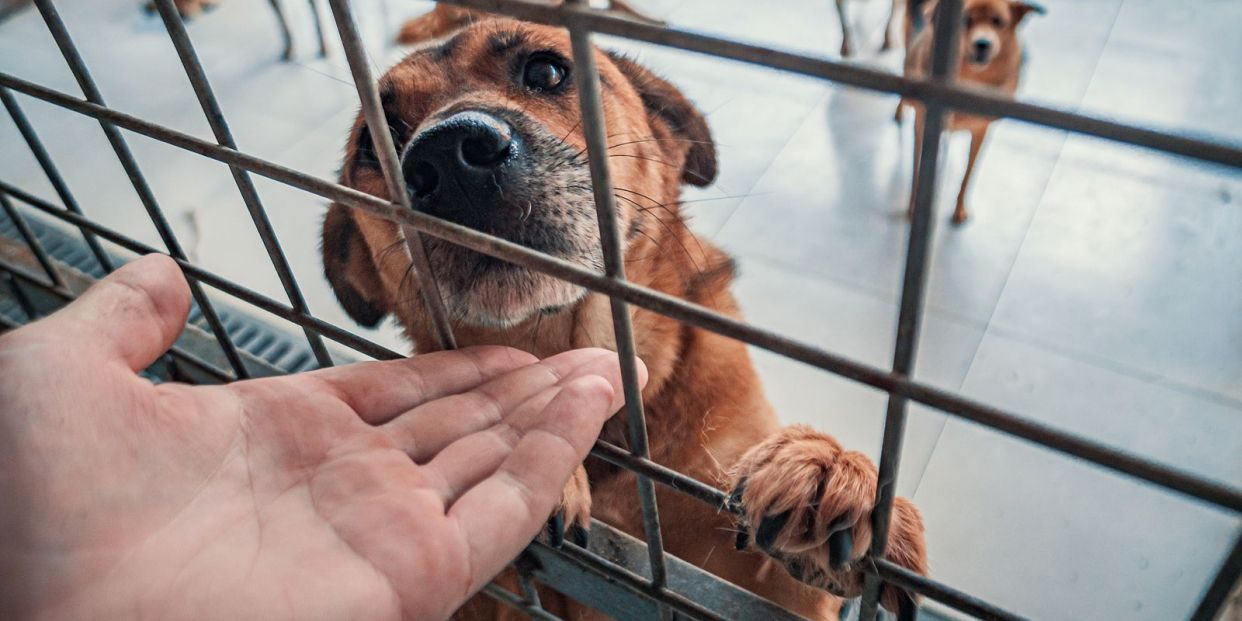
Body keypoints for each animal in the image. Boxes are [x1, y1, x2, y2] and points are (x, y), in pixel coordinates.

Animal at [899, 0, 1043, 223]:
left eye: (998, 21)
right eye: (965, 20)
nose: (983, 44)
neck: (970, 79)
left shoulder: (981, 130)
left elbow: (969, 173)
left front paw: (959, 208)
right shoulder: (923, 126)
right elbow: (918, 169)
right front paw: (915, 207)